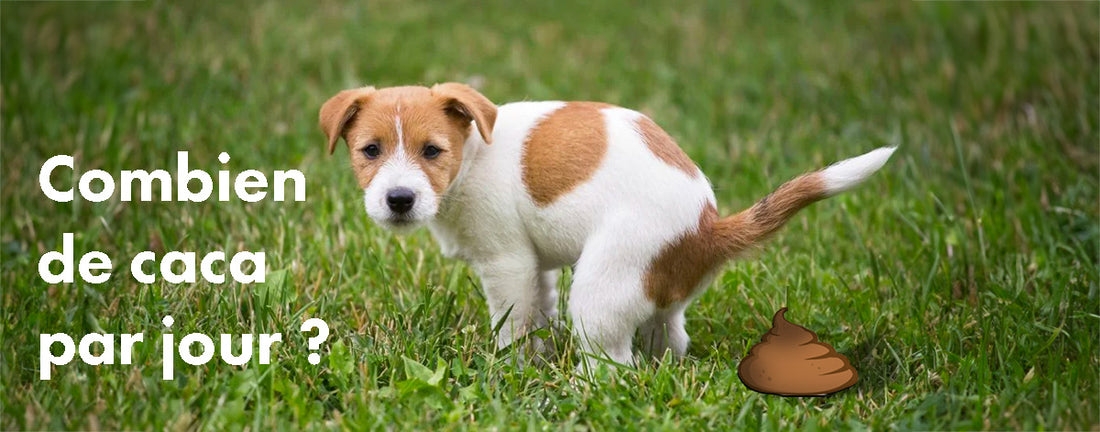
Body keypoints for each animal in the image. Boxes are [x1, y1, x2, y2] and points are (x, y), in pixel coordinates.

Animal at [319, 81, 893, 367]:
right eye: (370, 150)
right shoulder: (535, 268)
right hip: (655, 293)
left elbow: (514, 324)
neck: (473, 154)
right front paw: (537, 359)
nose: (398, 199)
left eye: (432, 151)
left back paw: (581, 388)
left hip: (600, 290)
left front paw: (511, 371)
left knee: (615, 365)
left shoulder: (507, 264)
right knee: (668, 339)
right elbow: (539, 313)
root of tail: (708, 228)